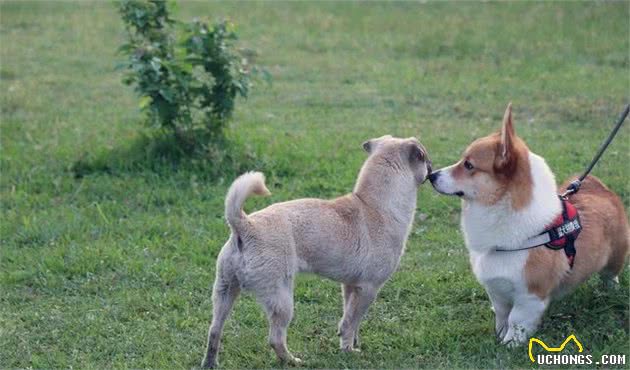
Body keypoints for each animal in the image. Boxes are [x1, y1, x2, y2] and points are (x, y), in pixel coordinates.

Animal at [204, 134, 434, 366]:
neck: (374, 206)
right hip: (281, 299)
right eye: (424, 158)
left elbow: (349, 318)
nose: (432, 171)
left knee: (214, 331)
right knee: (275, 338)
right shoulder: (368, 289)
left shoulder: (350, 287)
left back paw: (210, 363)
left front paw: (352, 342)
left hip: (225, 292)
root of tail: (244, 225)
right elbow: (351, 322)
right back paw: (293, 361)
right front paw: (348, 350)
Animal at [432, 104, 628, 346]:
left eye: (469, 165)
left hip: (616, 256)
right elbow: (502, 314)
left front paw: (509, 345)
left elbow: (516, 320)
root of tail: (600, 187)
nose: (431, 175)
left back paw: (610, 291)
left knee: (611, 275)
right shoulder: (497, 291)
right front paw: (499, 335)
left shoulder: (530, 296)